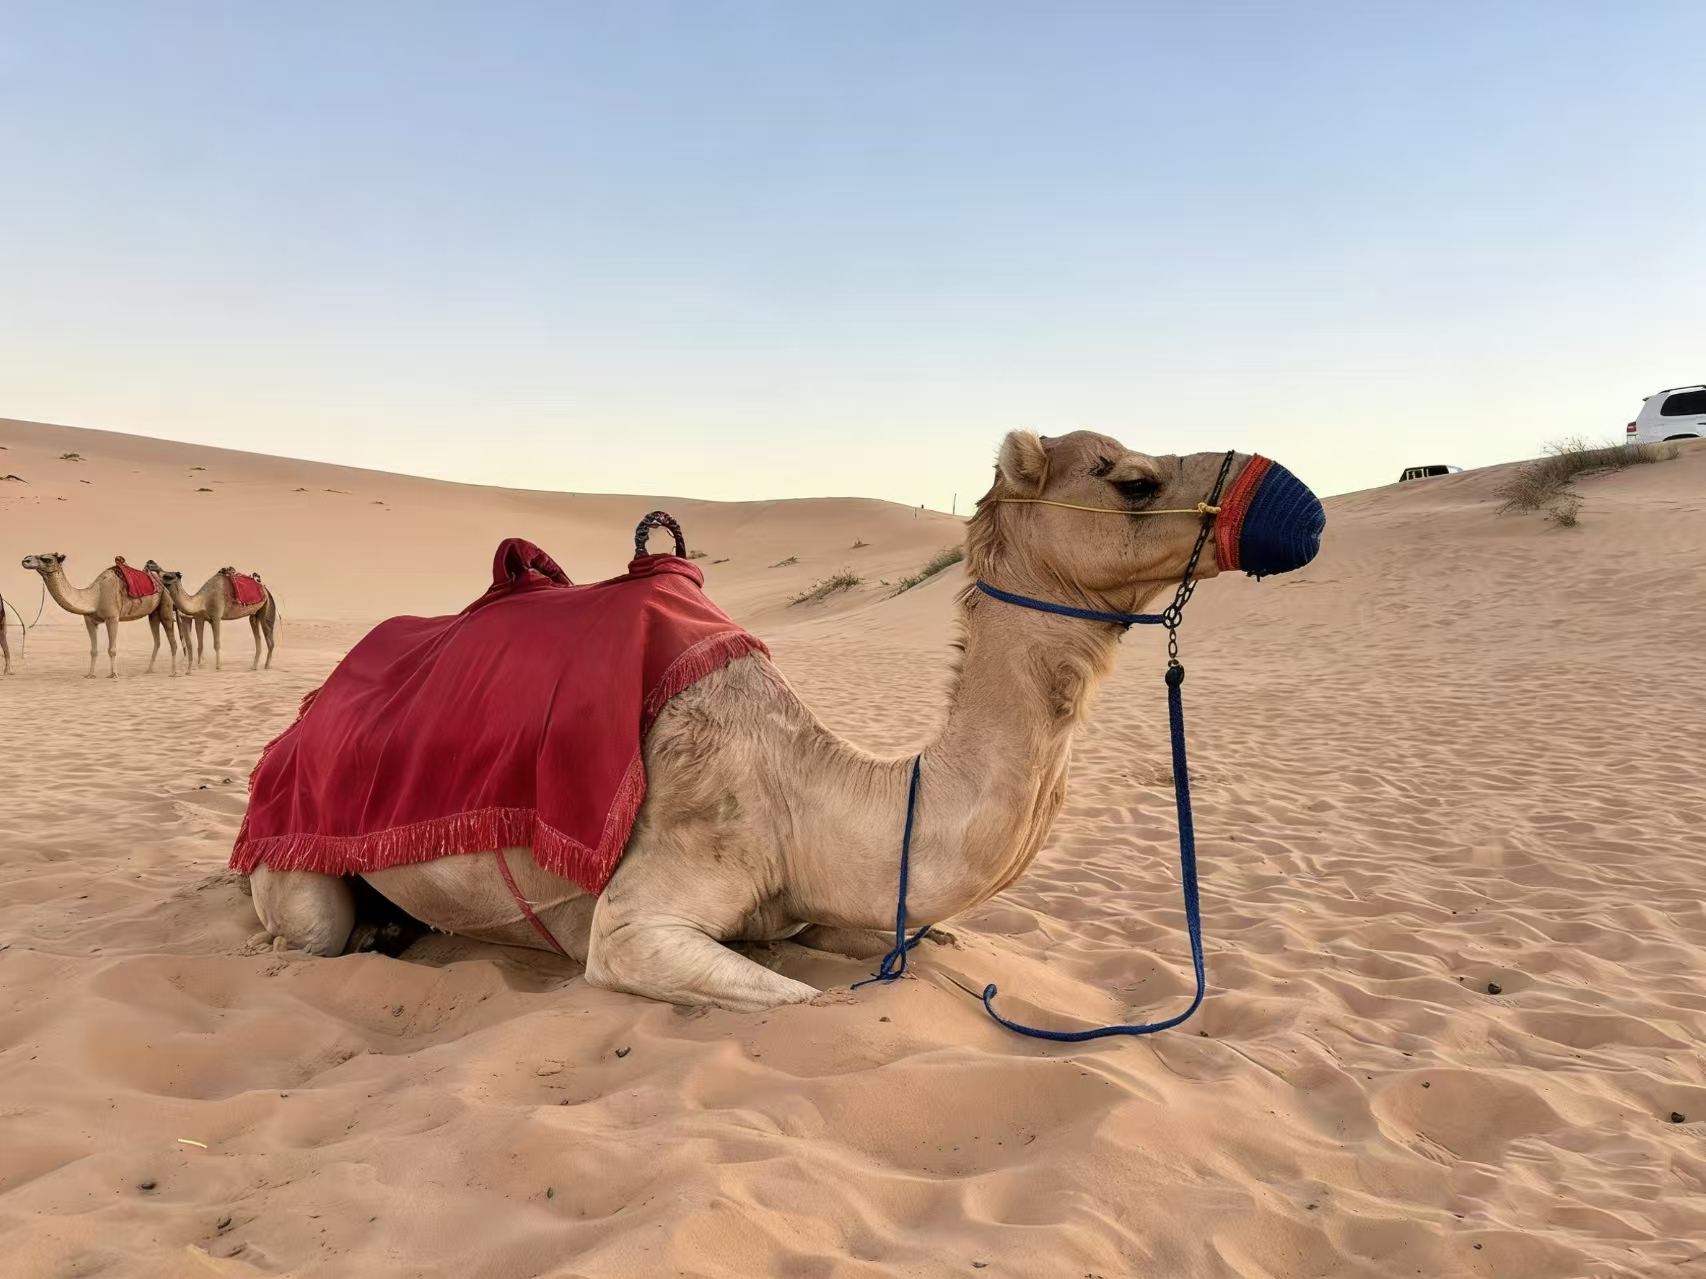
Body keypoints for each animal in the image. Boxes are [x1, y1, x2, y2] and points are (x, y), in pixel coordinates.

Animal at [19, 554, 181, 679]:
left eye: (46, 559)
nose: (25, 560)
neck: (94, 597)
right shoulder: (90, 620)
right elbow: (93, 650)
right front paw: (90, 674)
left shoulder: (112, 618)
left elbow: (112, 649)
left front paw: (114, 674)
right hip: (153, 614)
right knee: (157, 640)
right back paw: (149, 670)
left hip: (166, 604)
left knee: (172, 642)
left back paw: (174, 672)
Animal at [246, 432, 1322, 1012]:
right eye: (1130, 478)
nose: (1298, 502)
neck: (808, 793)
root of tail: (300, 721)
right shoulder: (642, 911)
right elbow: (798, 998)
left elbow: (923, 937)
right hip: (293, 863)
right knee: (309, 930)